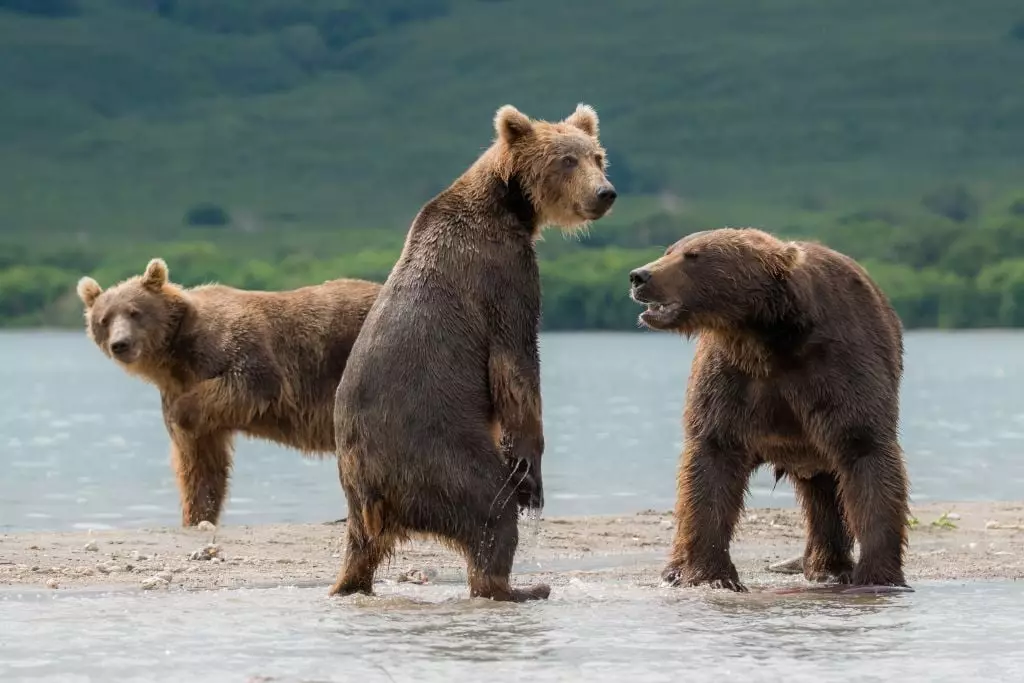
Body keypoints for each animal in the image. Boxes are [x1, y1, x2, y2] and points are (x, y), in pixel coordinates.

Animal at [77, 259, 382, 527]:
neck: (176, 358)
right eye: (104, 319)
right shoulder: (179, 392)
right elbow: (201, 464)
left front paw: (181, 412)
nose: (121, 344)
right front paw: (195, 516)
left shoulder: (233, 349)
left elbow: (251, 381)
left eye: (134, 312)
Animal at [329, 103, 617, 602]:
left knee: (361, 548)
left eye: (597, 156)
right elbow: (515, 366)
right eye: (566, 160)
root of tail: (375, 490)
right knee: (490, 509)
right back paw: (520, 586)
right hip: (438, 454)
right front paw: (531, 471)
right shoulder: (503, 274)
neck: (509, 206)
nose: (605, 193)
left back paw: (350, 584)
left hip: (360, 490)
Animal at [627, 227, 910, 591]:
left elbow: (866, 452)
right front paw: (712, 575)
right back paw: (675, 570)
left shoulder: (836, 367)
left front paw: (878, 576)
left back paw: (829, 568)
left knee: (827, 492)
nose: (640, 276)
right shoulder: (731, 380)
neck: (764, 336)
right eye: (670, 250)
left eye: (693, 256)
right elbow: (711, 463)